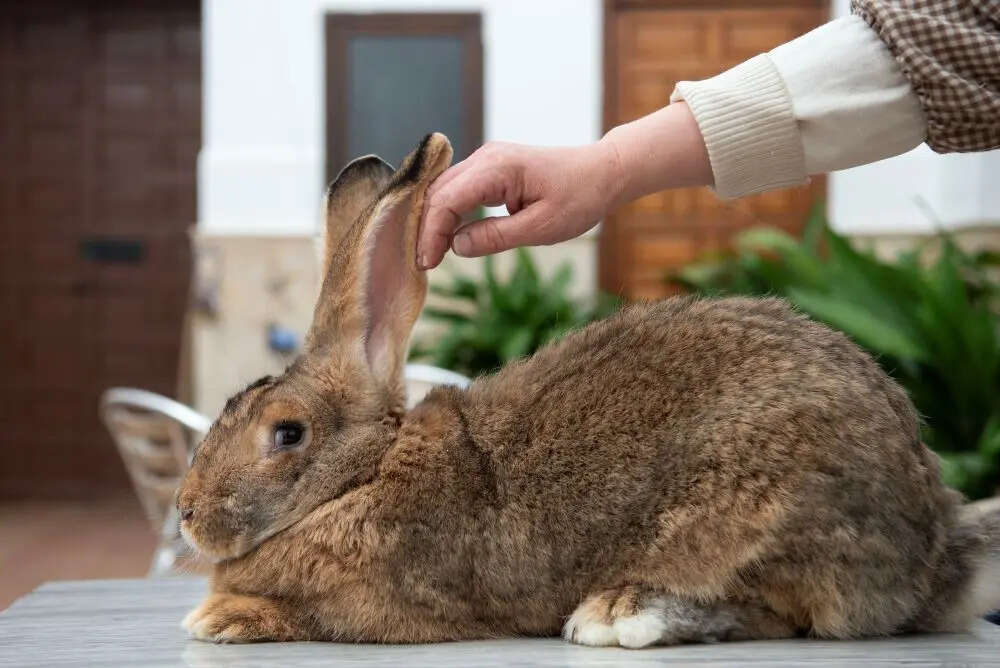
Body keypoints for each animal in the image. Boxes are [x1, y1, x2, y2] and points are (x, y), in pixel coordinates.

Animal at [178, 133, 1000, 647]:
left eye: (287, 433)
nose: (185, 513)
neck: (363, 476)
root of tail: (934, 543)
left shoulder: (383, 605)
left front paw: (221, 619)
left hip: (762, 513)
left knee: (781, 614)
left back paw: (620, 613)